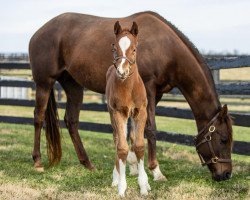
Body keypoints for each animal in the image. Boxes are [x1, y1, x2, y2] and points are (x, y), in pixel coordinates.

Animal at [105, 21, 150, 196]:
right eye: (114, 48)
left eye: (135, 49)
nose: (122, 71)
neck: (129, 88)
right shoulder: (119, 113)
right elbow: (122, 148)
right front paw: (121, 186)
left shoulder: (141, 112)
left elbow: (139, 145)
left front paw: (144, 186)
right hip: (112, 114)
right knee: (117, 139)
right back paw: (116, 177)